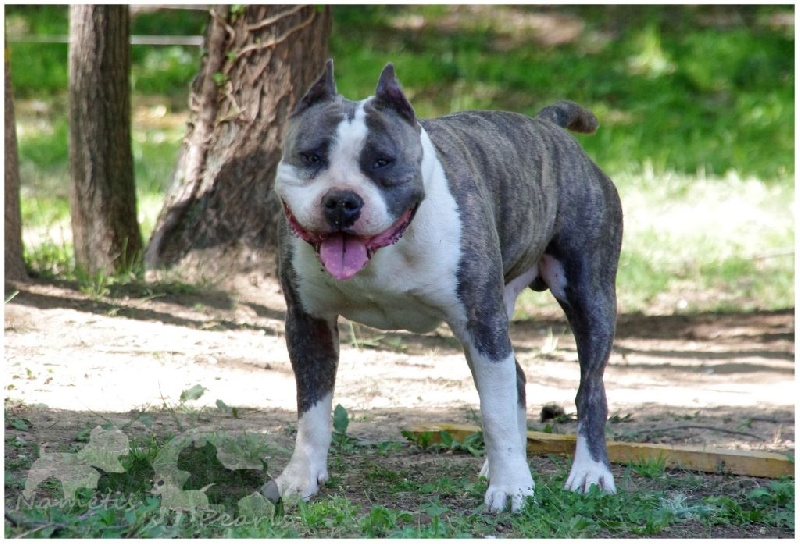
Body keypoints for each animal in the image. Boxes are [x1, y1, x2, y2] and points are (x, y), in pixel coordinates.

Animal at [269, 60, 623, 512]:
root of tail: (550, 128)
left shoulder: (481, 322)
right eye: (311, 157)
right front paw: (301, 477)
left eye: (382, 161)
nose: (342, 201)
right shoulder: (308, 322)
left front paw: (511, 489)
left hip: (587, 294)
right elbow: (311, 409)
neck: (387, 248)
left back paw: (590, 473)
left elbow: (494, 412)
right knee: (517, 378)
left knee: (589, 388)